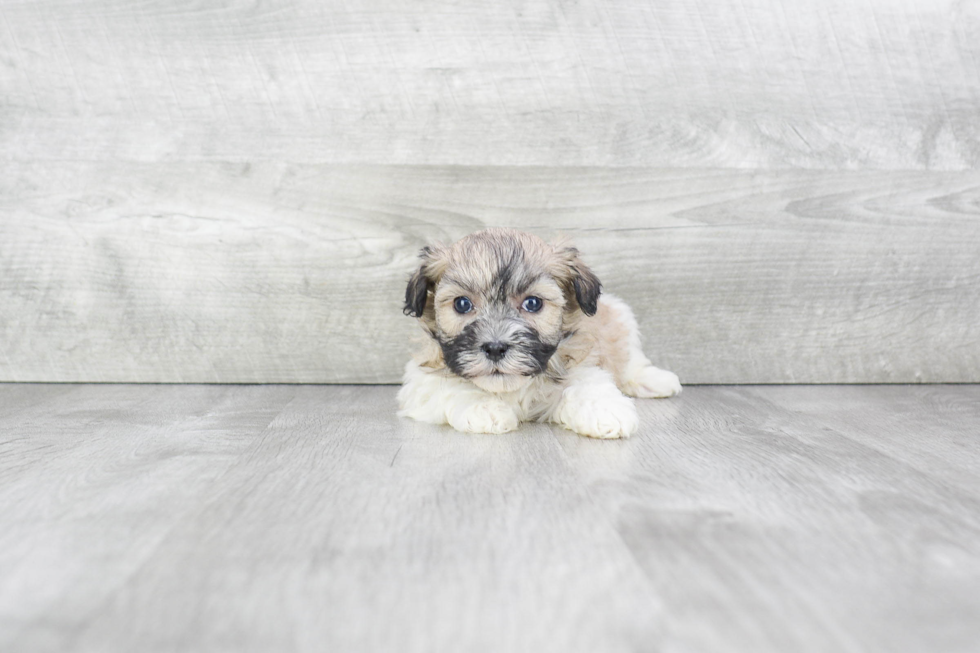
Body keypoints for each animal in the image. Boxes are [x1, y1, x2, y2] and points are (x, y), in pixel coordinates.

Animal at [394, 228, 676, 438]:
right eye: (462, 304)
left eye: (533, 303)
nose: (495, 348)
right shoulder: (421, 380)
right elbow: (448, 387)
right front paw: (484, 408)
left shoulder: (581, 362)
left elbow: (586, 384)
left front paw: (605, 410)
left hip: (621, 316)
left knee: (631, 361)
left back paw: (657, 380)